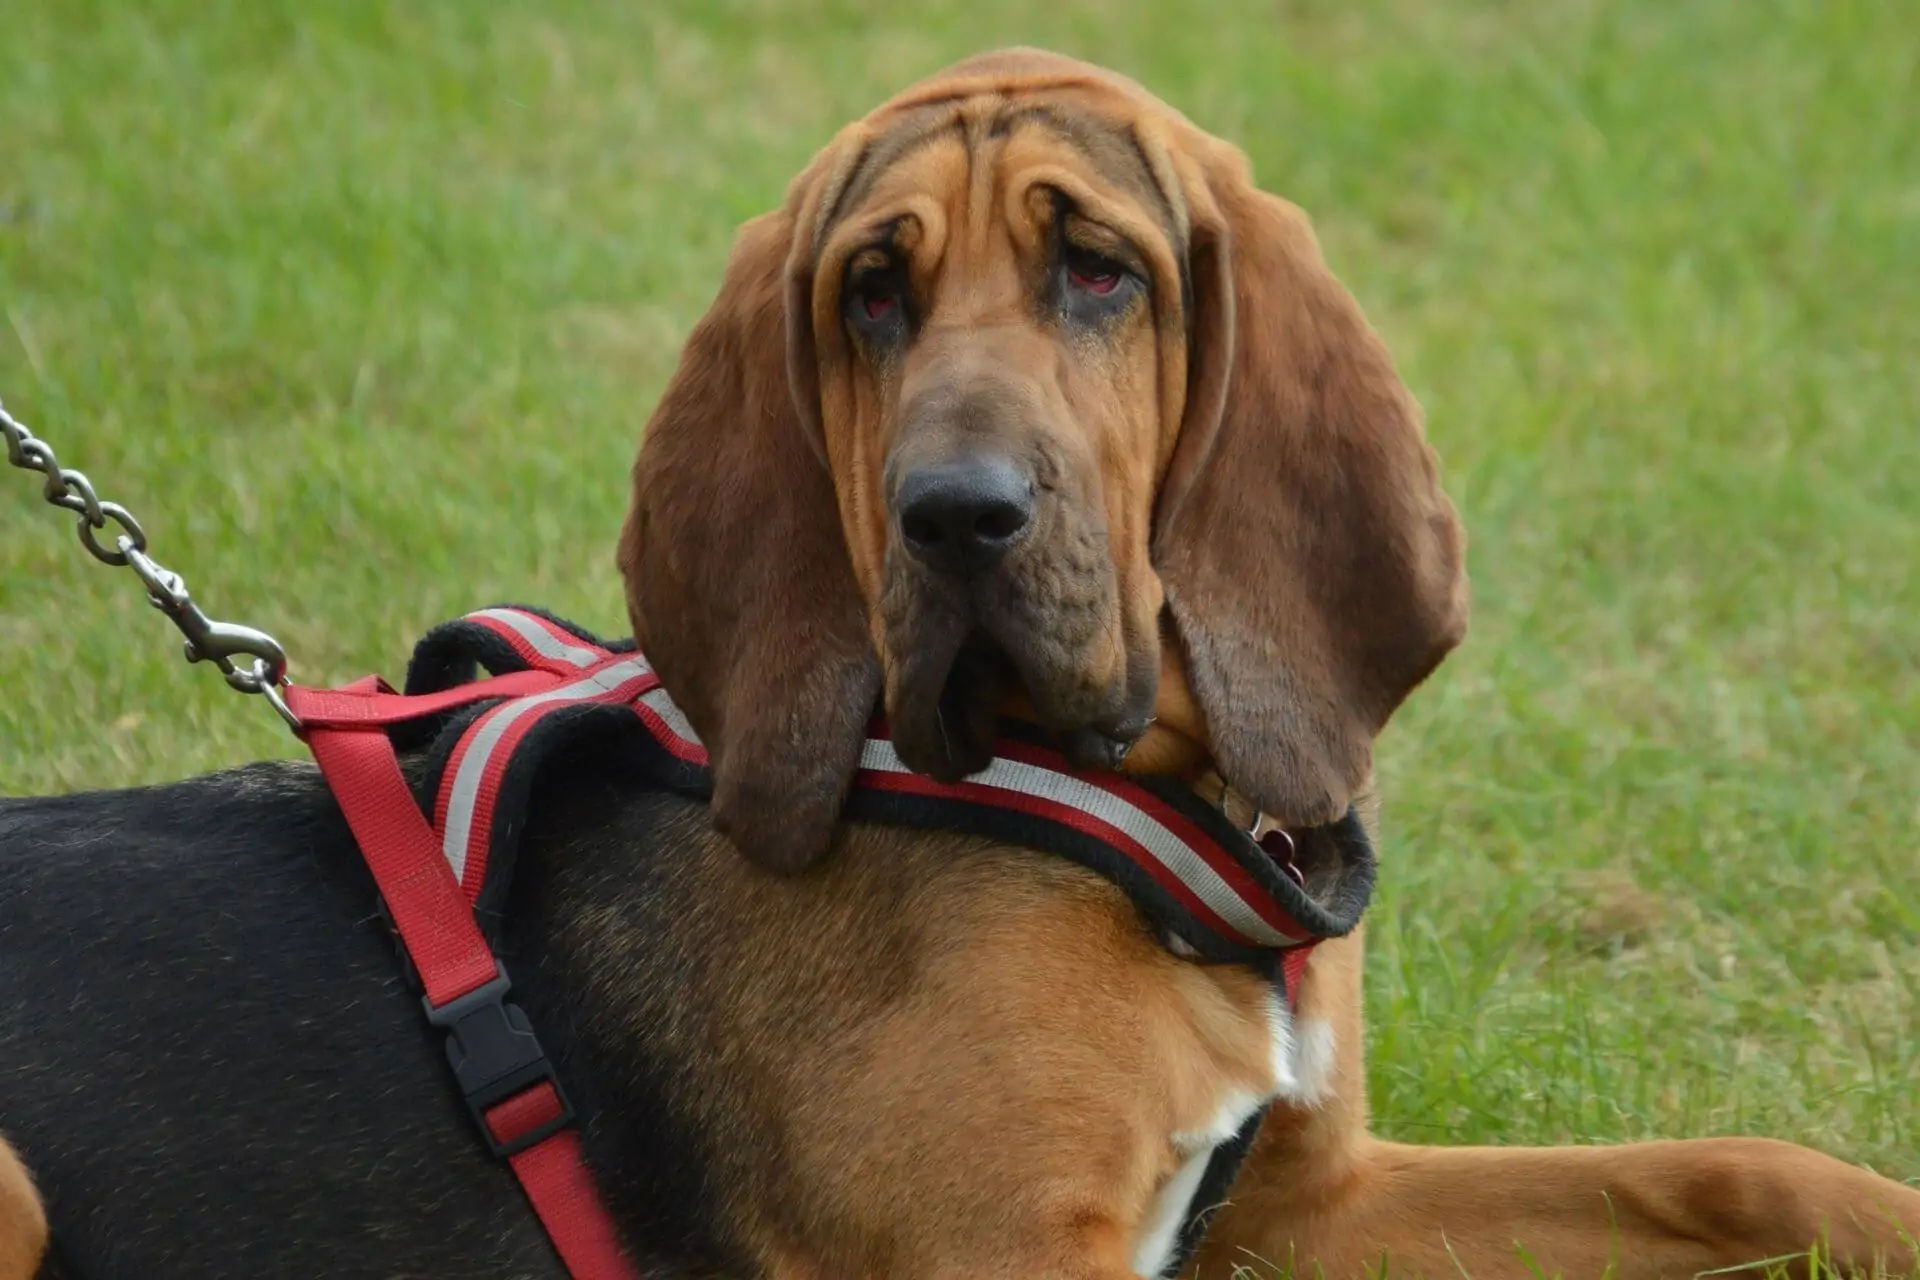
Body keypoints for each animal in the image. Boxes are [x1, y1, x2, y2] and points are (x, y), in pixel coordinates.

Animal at [3, 45, 1920, 1280]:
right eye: (870, 292)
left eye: (1101, 273)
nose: (957, 517)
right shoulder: (1012, 1256)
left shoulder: (1307, 1200)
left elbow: (1734, 1170)